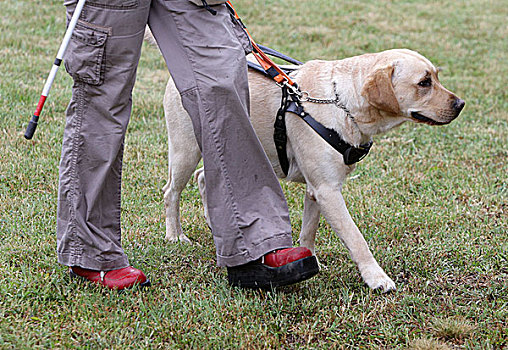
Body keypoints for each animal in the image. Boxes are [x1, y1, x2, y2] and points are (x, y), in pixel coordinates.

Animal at [163, 49, 464, 292]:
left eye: (436, 77)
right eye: (424, 83)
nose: (460, 104)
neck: (340, 103)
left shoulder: (316, 190)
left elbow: (308, 232)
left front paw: (308, 259)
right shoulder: (327, 191)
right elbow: (356, 238)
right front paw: (376, 277)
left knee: (204, 177)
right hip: (186, 151)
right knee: (171, 192)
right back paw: (175, 235)